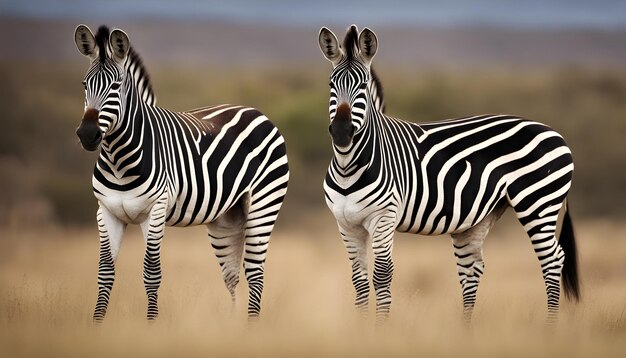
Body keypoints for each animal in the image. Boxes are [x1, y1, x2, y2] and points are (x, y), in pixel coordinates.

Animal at [74, 25, 288, 322]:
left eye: (116, 86)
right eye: (85, 85)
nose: (87, 134)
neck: (119, 160)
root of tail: (254, 110)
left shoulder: (155, 210)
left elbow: (151, 272)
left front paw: (151, 324)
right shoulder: (106, 211)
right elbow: (105, 272)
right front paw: (96, 325)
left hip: (264, 203)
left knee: (255, 272)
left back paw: (251, 326)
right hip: (226, 219)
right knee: (232, 276)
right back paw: (233, 327)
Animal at [320, 25, 576, 322]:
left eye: (362, 85)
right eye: (331, 85)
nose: (341, 132)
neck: (348, 166)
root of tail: (554, 131)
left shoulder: (383, 217)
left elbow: (382, 275)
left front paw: (380, 329)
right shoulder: (347, 225)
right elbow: (359, 281)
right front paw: (361, 330)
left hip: (538, 203)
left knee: (553, 260)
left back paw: (550, 326)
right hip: (479, 218)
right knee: (472, 269)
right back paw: (465, 330)